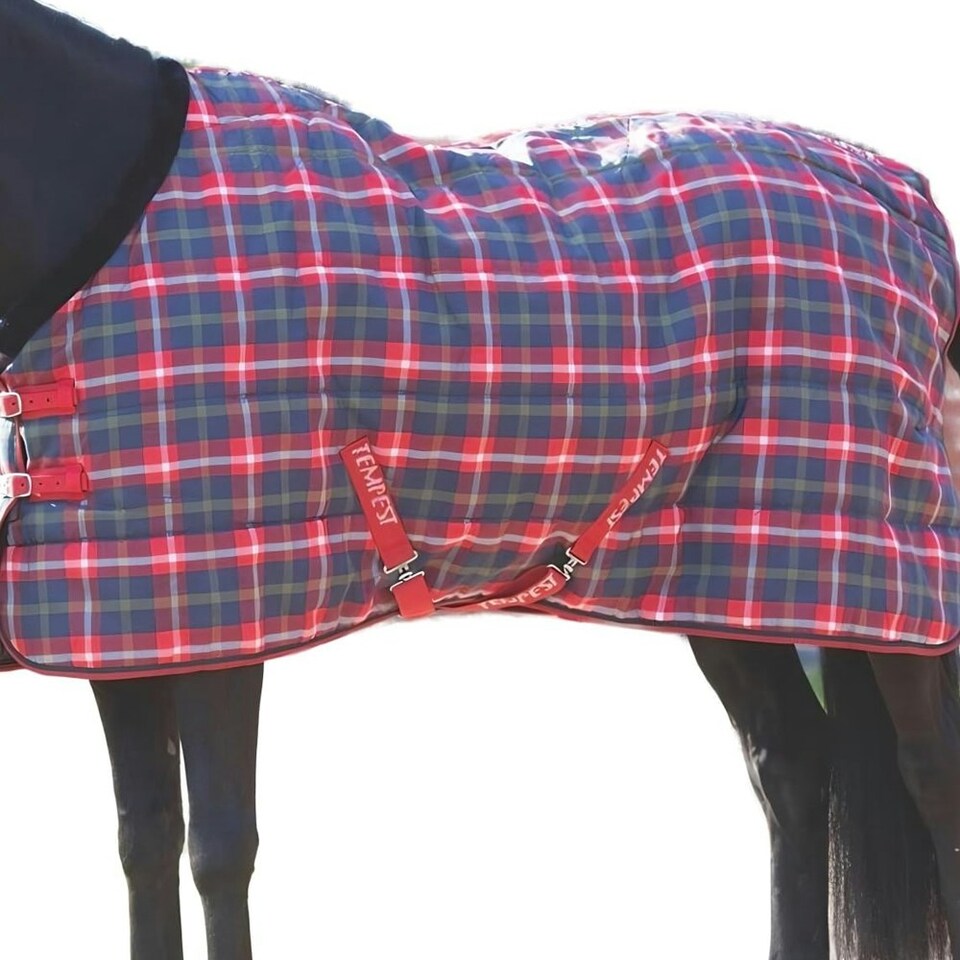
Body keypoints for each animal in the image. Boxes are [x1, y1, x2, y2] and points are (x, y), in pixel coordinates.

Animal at [3, 1, 960, 958]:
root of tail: (905, 194)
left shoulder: (230, 614)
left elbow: (219, 850)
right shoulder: (121, 619)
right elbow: (146, 839)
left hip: (885, 581)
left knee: (927, 775)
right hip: (730, 573)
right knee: (792, 761)